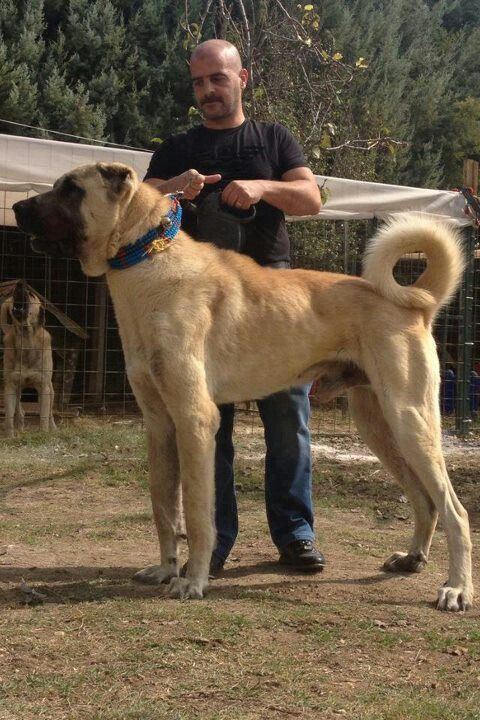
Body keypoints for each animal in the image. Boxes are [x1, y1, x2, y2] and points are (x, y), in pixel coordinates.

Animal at [0, 282, 56, 438]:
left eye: (31, 295)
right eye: (15, 291)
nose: (19, 284)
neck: (26, 341)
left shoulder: (44, 387)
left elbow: (43, 416)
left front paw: (43, 434)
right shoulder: (10, 386)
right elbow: (9, 417)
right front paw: (10, 437)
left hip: (51, 391)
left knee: (50, 413)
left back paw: (53, 428)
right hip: (17, 391)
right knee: (20, 412)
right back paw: (20, 429)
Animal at [12, 165, 472, 612]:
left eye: (71, 188)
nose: (15, 207)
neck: (147, 258)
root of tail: (416, 302)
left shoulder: (195, 420)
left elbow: (198, 515)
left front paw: (193, 580)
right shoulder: (159, 424)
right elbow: (164, 508)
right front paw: (165, 569)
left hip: (409, 420)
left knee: (455, 509)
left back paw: (456, 589)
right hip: (378, 425)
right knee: (424, 499)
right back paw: (412, 559)